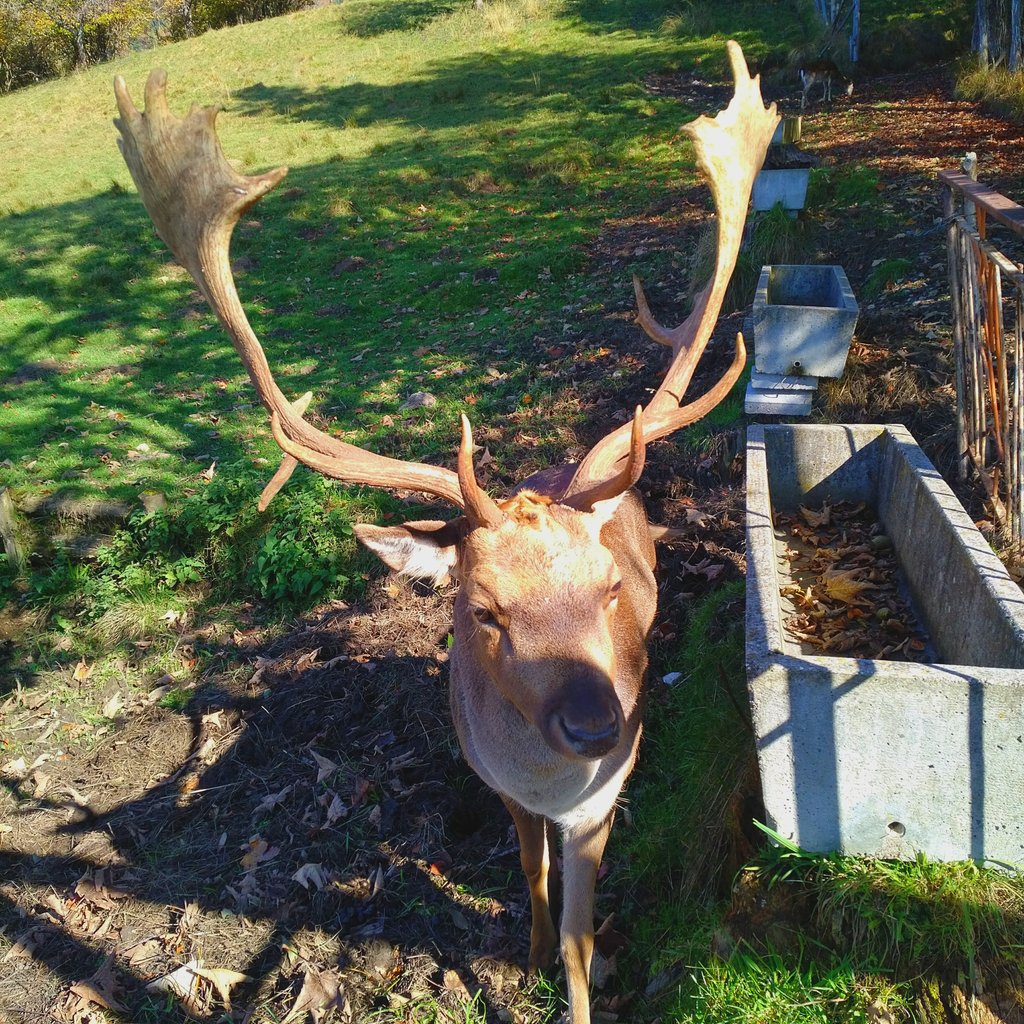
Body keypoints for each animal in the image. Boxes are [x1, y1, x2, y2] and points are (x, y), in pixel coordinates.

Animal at [113, 40, 776, 1024]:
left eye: (610, 589)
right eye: (482, 610)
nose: (599, 726)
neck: (550, 783)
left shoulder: (599, 806)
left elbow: (583, 936)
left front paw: (568, 980)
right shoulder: (496, 784)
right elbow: (530, 875)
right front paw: (526, 954)